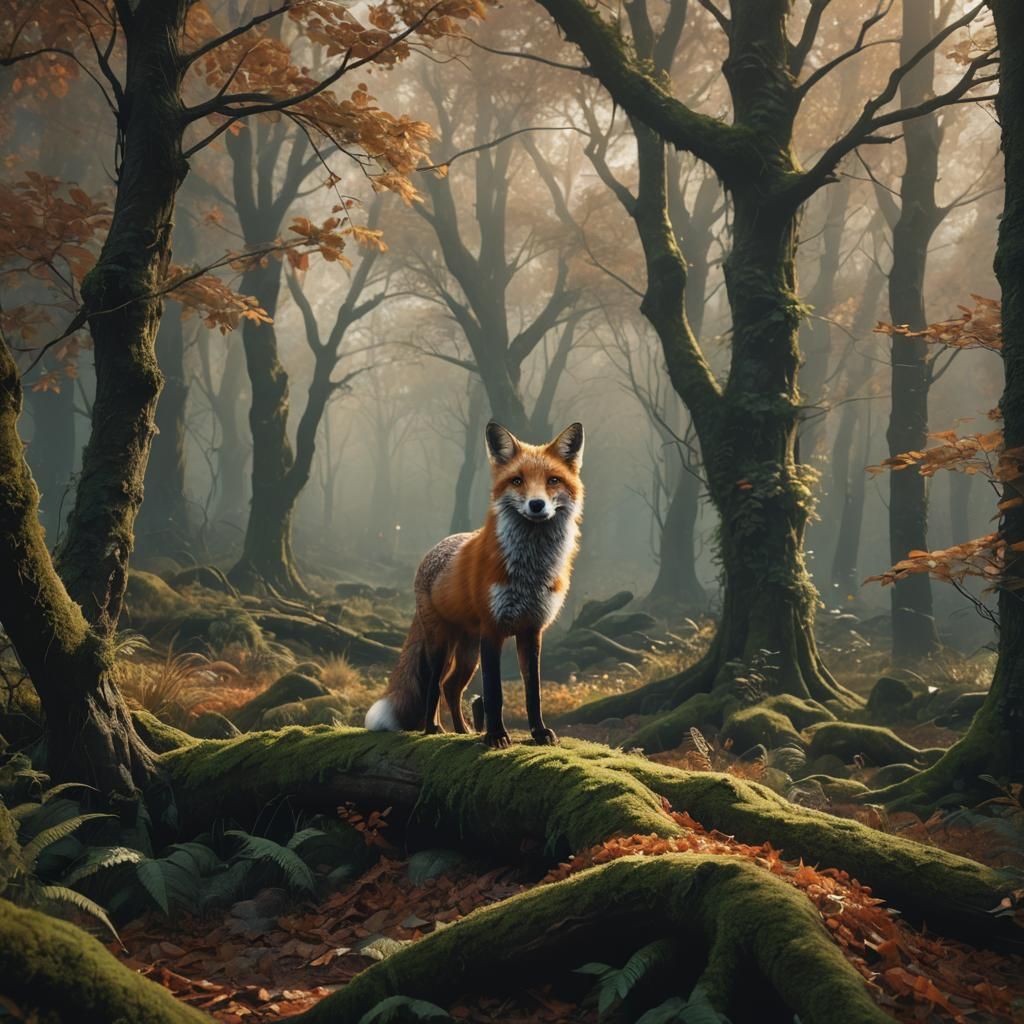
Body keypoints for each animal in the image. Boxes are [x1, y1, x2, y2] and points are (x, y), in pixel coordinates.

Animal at [364, 420, 584, 748]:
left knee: (451, 686)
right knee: (433, 684)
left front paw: (539, 733)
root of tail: (434, 550)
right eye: (517, 481)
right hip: (441, 643)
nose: (537, 505)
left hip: (468, 652)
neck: (529, 572)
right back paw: (433, 728)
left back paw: (462, 730)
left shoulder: (532, 630)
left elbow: (533, 692)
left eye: (553, 480)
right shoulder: (492, 630)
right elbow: (494, 694)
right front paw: (496, 736)